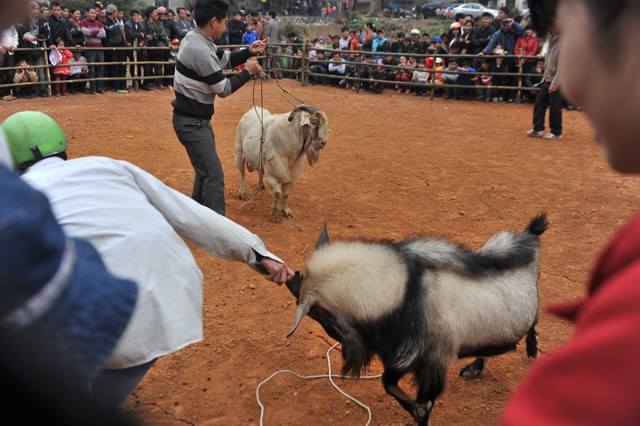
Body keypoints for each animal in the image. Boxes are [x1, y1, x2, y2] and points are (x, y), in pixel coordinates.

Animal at [288, 216, 548, 426]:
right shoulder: (404, 356)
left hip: (533, 301)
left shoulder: (433, 362)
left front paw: (417, 412)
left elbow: (423, 407)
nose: (345, 350)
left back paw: (531, 350)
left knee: (533, 323)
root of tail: (529, 236)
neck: (405, 289)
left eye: (320, 316)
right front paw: (411, 408)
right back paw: (476, 366)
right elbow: (388, 383)